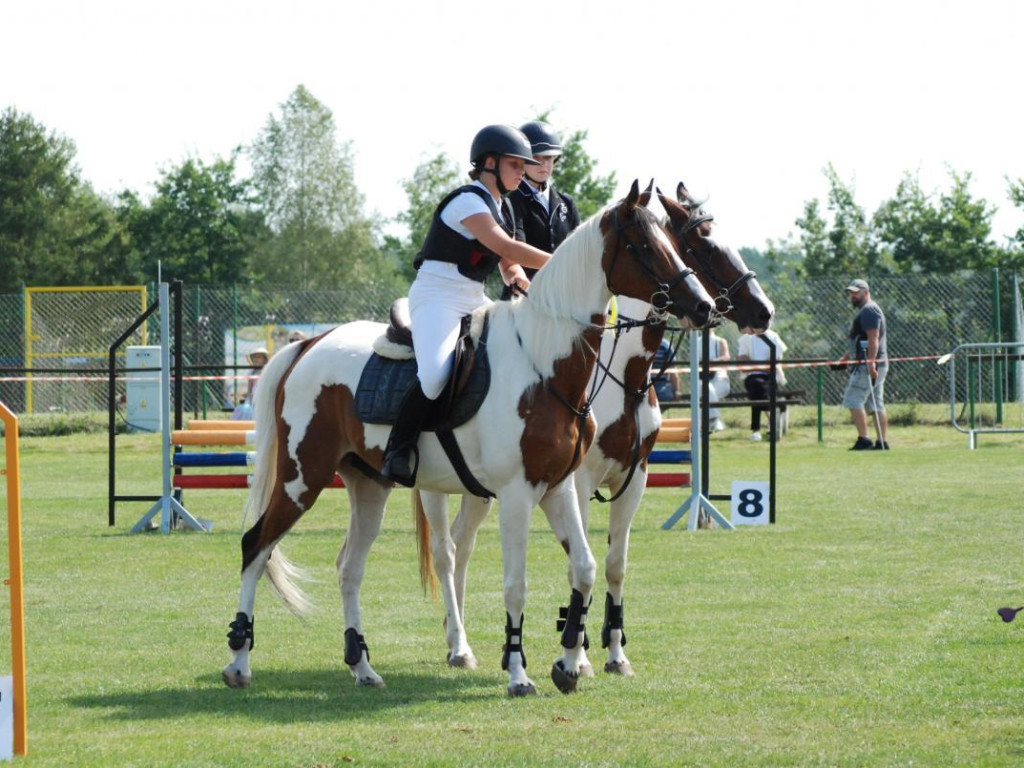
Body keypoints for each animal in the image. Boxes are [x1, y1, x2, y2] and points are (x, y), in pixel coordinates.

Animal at [220, 179, 716, 696]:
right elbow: (515, 585)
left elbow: (585, 567)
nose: (705, 306)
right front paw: (519, 673)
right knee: (256, 546)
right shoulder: (519, 494)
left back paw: (362, 665)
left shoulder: (558, 488)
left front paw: (567, 663)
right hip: (303, 478)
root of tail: (307, 346)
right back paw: (239, 662)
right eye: (644, 247)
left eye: (673, 242)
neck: (545, 363)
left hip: (368, 484)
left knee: (349, 567)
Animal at [442, 183, 774, 675]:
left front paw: (615, 652)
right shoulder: (576, 482)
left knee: (462, 546)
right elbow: (576, 562)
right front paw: (576, 654)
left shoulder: (633, 478)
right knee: (448, 550)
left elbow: (616, 563)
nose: (763, 311)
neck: (624, 375)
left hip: (478, 487)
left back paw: (460, 640)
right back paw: (457, 643)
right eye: (705, 244)